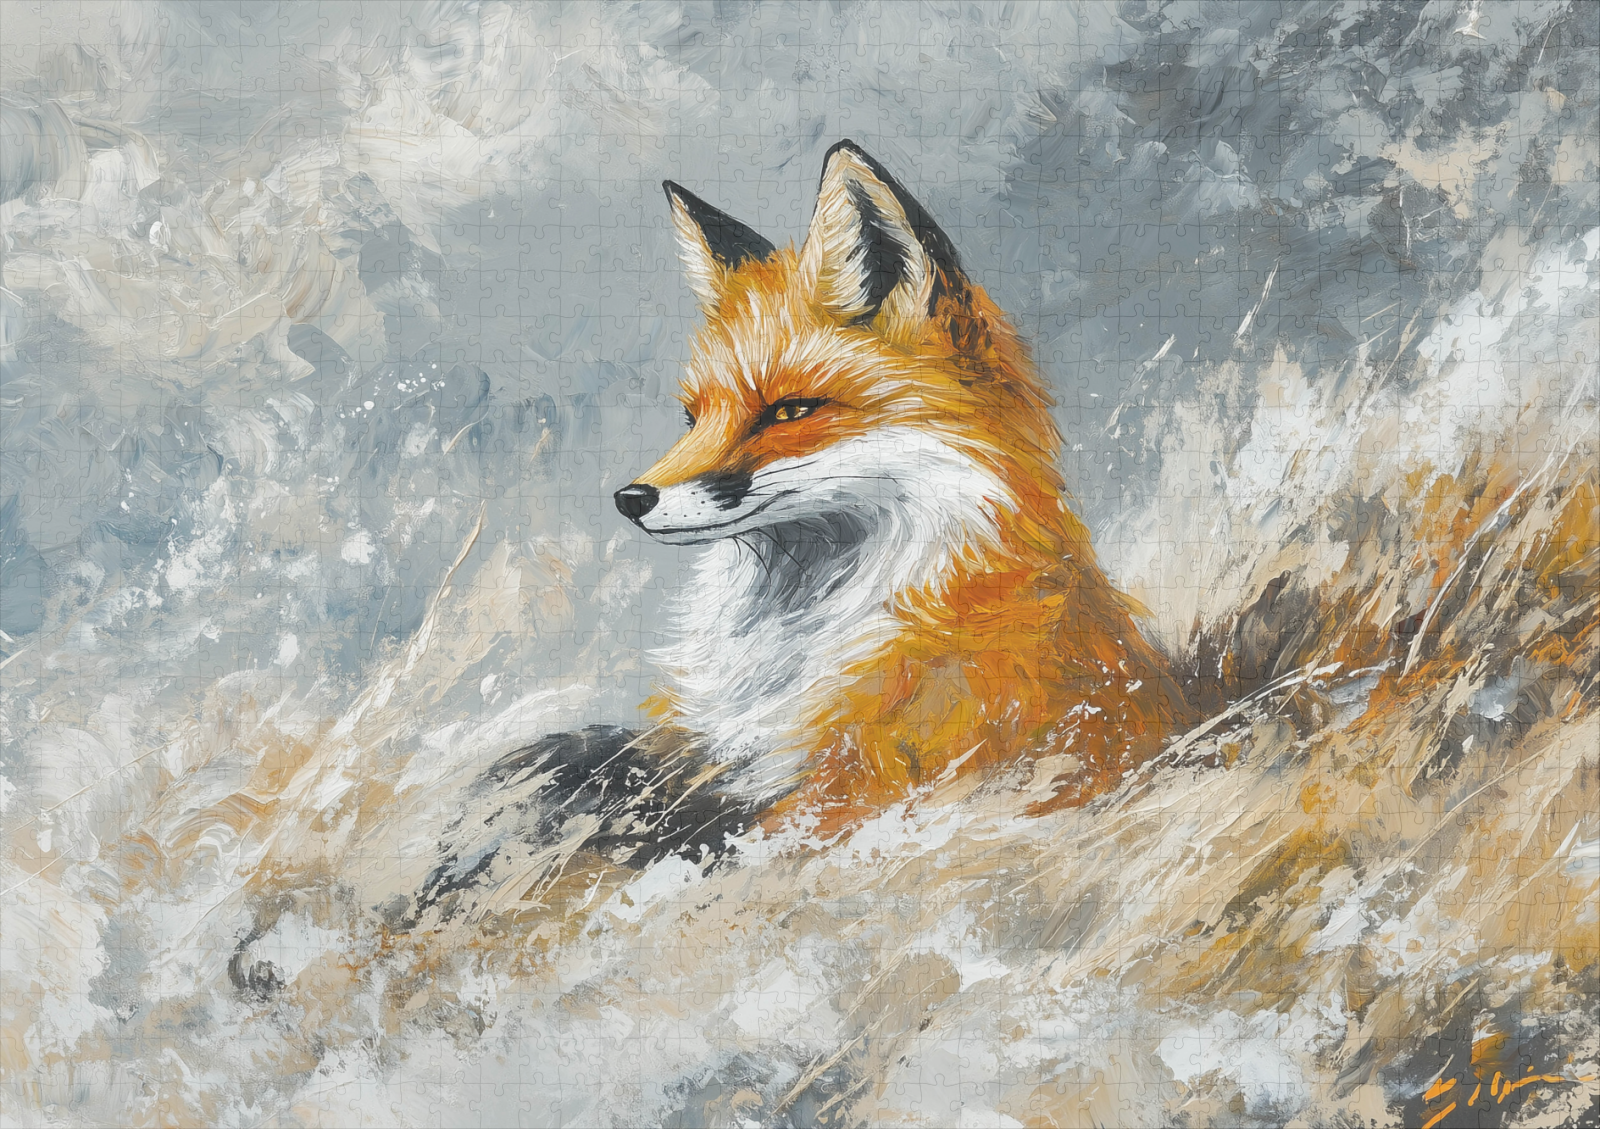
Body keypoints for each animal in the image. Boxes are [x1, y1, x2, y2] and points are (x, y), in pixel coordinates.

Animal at [418, 142, 1192, 914]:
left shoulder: (849, 799)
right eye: (693, 417)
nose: (631, 498)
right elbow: (584, 768)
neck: (797, 643)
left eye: (789, 411)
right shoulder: (714, 756)